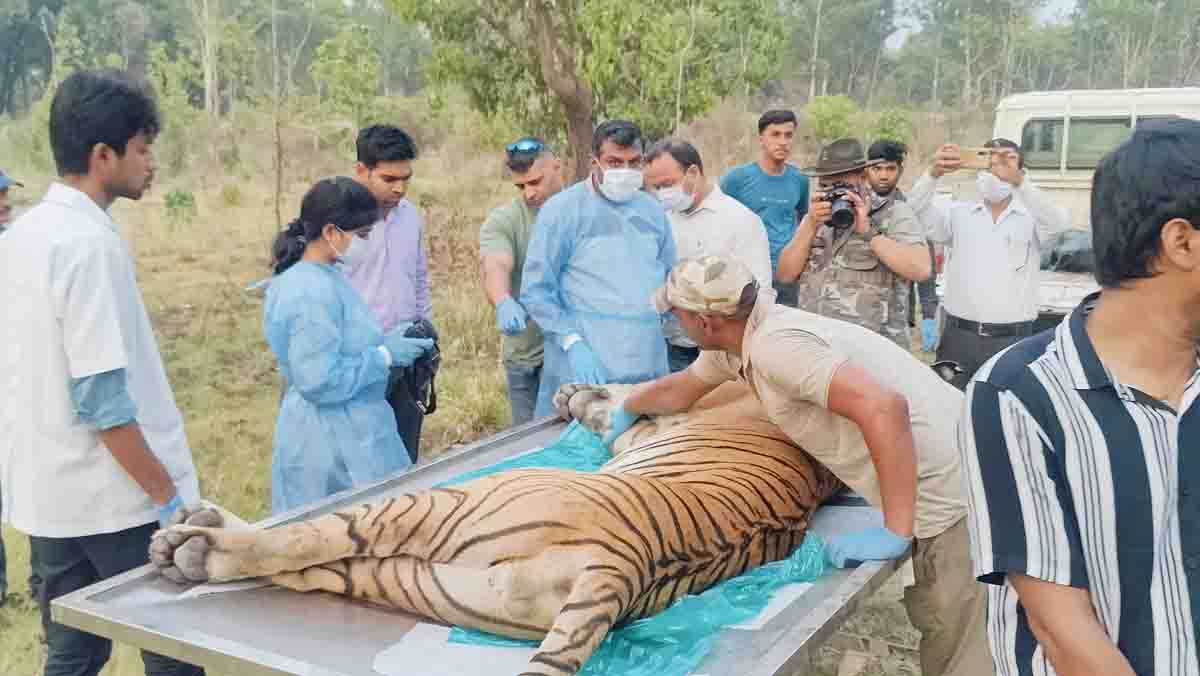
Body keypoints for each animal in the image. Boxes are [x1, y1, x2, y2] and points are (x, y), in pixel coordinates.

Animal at [152, 384, 844, 676]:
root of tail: (625, 566)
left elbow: (622, 397)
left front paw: (582, 393)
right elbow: (613, 409)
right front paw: (575, 395)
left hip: (441, 507)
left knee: (310, 540)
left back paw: (190, 544)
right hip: (429, 583)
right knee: (320, 564)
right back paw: (196, 544)